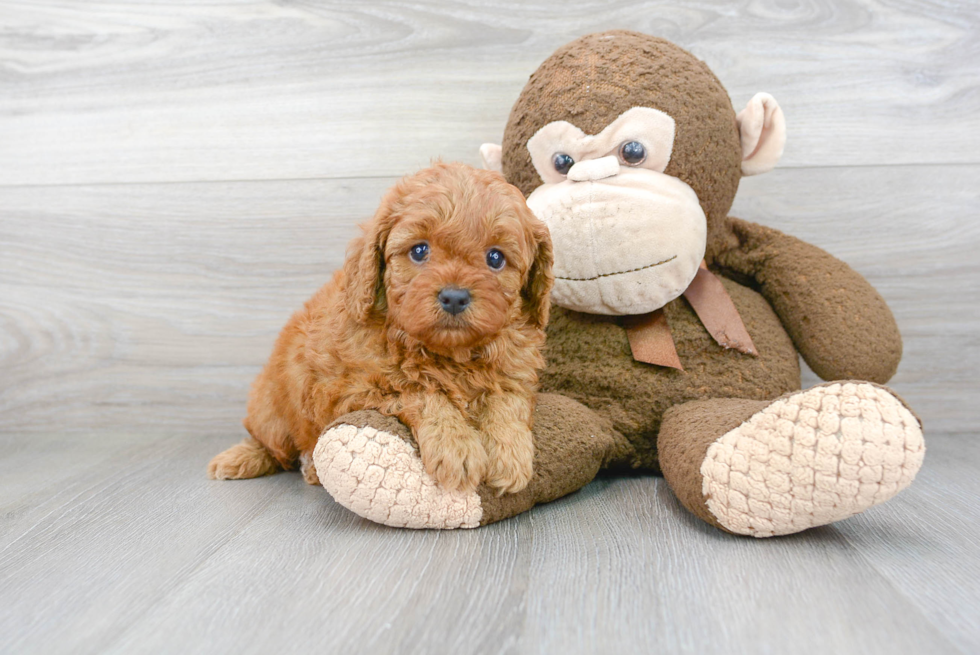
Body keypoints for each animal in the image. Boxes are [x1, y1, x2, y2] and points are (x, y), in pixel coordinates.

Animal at [208, 161, 556, 494]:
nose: (454, 297)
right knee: (271, 444)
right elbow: (421, 391)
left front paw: (509, 455)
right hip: (272, 410)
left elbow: (507, 401)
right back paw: (244, 459)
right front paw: (455, 446)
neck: (448, 353)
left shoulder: (517, 371)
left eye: (496, 258)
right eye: (419, 250)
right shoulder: (352, 389)